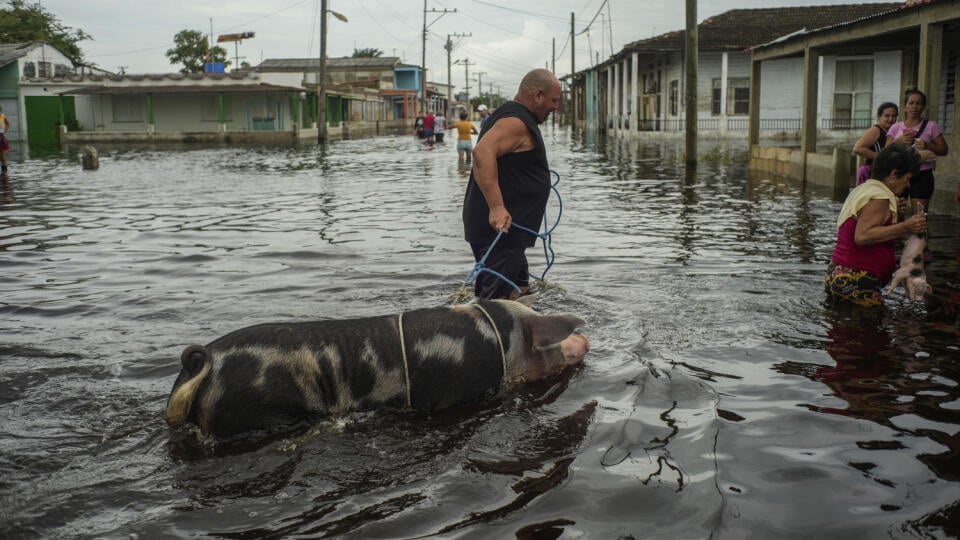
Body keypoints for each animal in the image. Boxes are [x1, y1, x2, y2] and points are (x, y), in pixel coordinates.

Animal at [166, 298, 588, 440]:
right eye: (546, 339)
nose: (584, 338)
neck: (499, 339)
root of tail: (204, 363)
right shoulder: (447, 398)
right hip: (256, 412)